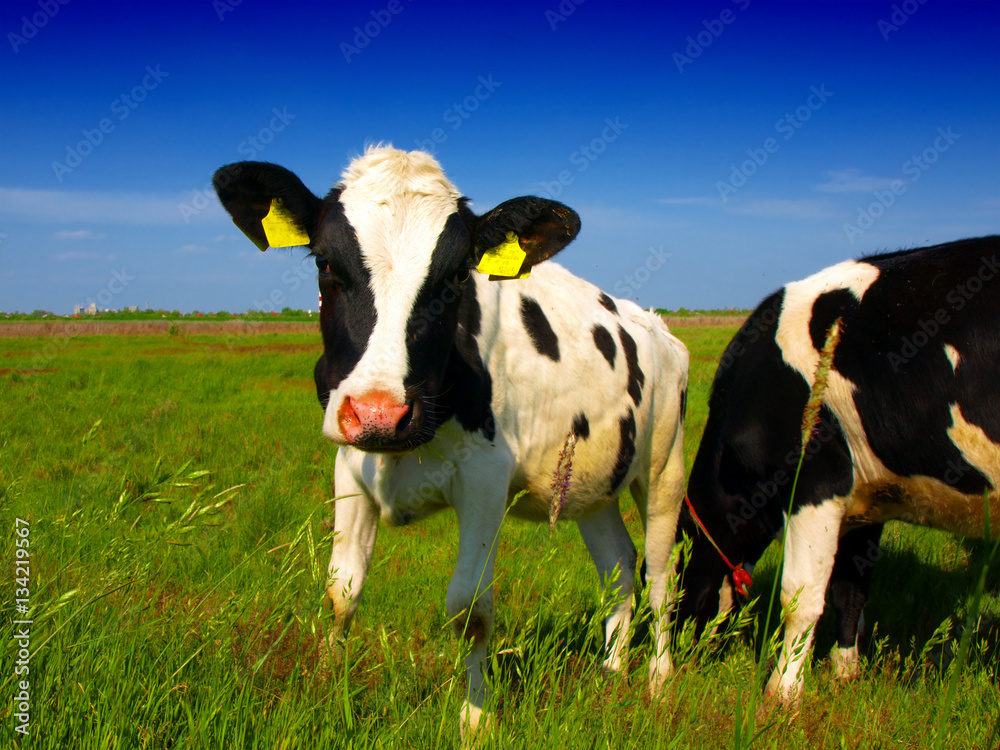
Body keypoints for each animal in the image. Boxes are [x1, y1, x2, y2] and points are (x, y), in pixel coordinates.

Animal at [213, 146, 690, 735]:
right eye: (324, 263)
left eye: (459, 274)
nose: (380, 413)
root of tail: (658, 326)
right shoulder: (349, 463)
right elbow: (341, 589)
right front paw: (325, 684)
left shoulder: (485, 480)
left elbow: (470, 608)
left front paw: (475, 718)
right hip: (589, 484)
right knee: (620, 570)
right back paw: (611, 674)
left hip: (665, 468)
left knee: (661, 577)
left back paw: (659, 683)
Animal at [675, 235, 1000, 702]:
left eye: (666, 573)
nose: (677, 650)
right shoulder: (868, 501)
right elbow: (850, 592)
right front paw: (845, 671)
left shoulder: (816, 482)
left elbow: (801, 598)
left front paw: (782, 692)